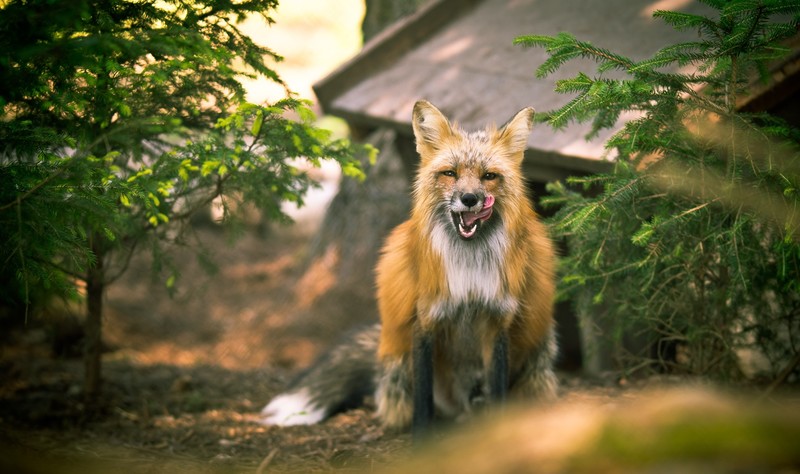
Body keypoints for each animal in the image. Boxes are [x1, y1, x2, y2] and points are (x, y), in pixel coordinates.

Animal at [260, 100, 558, 433]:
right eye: (450, 173)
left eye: (489, 176)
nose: (469, 198)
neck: (469, 268)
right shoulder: (425, 319)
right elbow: (422, 403)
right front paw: (421, 440)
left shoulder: (498, 321)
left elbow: (499, 395)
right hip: (400, 363)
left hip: (537, 356)